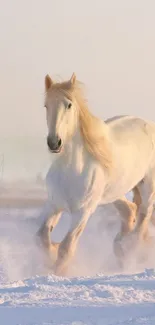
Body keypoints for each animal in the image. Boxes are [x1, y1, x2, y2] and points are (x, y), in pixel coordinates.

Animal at [37, 73, 155, 274]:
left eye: (69, 105)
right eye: (46, 105)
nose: (54, 143)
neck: (71, 170)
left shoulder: (82, 212)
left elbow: (66, 248)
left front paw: (57, 273)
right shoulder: (53, 205)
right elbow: (42, 238)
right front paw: (50, 256)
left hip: (148, 187)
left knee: (142, 219)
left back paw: (128, 252)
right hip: (114, 192)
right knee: (129, 211)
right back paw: (120, 247)